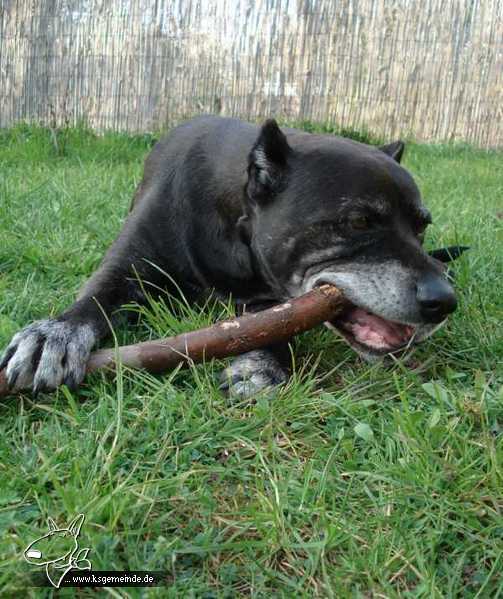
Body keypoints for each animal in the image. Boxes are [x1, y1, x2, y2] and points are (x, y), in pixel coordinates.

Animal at [0, 116, 456, 398]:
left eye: (422, 227)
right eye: (360, 220)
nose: (445, 300)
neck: (232, 218)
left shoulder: (267, 301)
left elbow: (272, 327)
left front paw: (262, 365)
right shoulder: (125, 265)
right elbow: (94, 297)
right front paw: (54, 333)